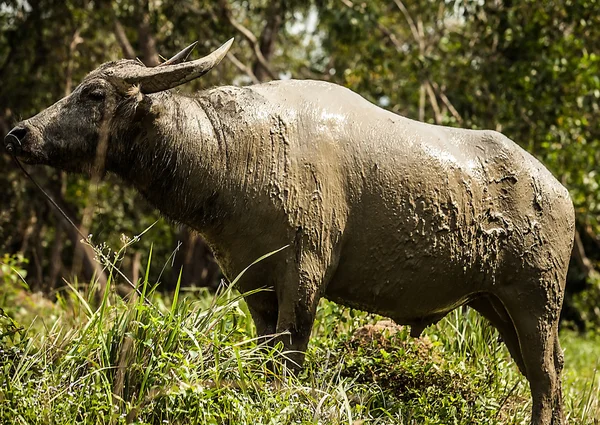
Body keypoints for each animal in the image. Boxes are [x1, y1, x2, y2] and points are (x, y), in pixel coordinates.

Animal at [5, 39, 576, 420]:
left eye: (94, 93)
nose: (18, 133)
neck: (234, 154)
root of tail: (559, 191)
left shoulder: (304, 275)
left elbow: (290, 355)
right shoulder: (253, 284)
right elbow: (266, 356)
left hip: (537, 300)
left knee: (546, 378)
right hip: (496, 303)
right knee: (545, 372)